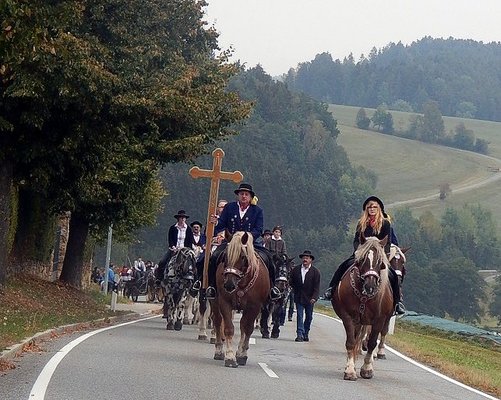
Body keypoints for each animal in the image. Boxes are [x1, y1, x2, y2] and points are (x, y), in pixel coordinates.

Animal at [210, 230, 272, 368]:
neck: (241, 283)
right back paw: (218, 351)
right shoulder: (225, 302)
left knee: (244, 325)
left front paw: (242, 355)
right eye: (225, 256)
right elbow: (228, 328)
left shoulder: (254, 306)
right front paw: (230, 357)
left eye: (243, 257)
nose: (229, 285)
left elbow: (247, 328)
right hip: (214, 301)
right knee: (217, 321)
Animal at [332, 234, 394, 382]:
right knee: (355, 340)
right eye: (362, 259)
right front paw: (350, 370)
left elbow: (372, 343)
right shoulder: (348, 316)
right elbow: (351, 342)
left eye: (380, 261)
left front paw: (367, 369)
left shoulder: (379, 319)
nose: (370, 286)